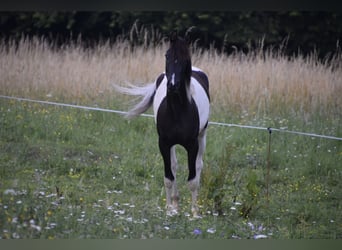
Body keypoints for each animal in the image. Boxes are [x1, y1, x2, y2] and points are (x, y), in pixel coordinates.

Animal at [115, 31, 210, 216]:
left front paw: (194, 213)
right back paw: (175, 204)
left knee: (198, 166)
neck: (178, 111)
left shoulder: (192, 145)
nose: (172, 85)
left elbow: (192, 180)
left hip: (202, 137)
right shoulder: (164, 143)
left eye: (185, 58)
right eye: (167, 55)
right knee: (174, 166)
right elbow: (168, 176)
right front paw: (169, 210)